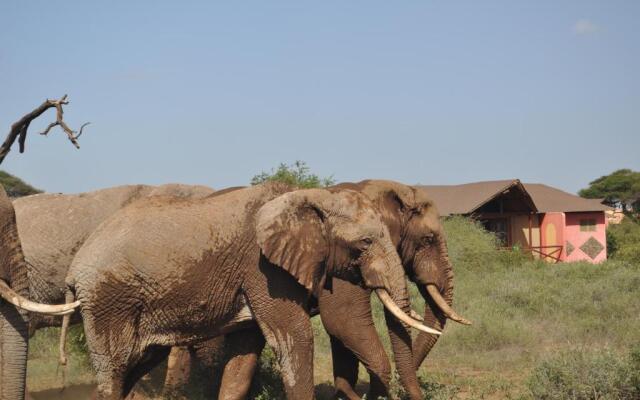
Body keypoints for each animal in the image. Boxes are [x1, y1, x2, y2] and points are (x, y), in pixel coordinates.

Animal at [61, 183, 440, 398]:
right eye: (365, 243)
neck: (310, 197)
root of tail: (75, 268)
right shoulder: (263, 268)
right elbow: (295, 338)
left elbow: (245, 354)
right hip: (108, 300)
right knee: (114, 369)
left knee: (134, 365)